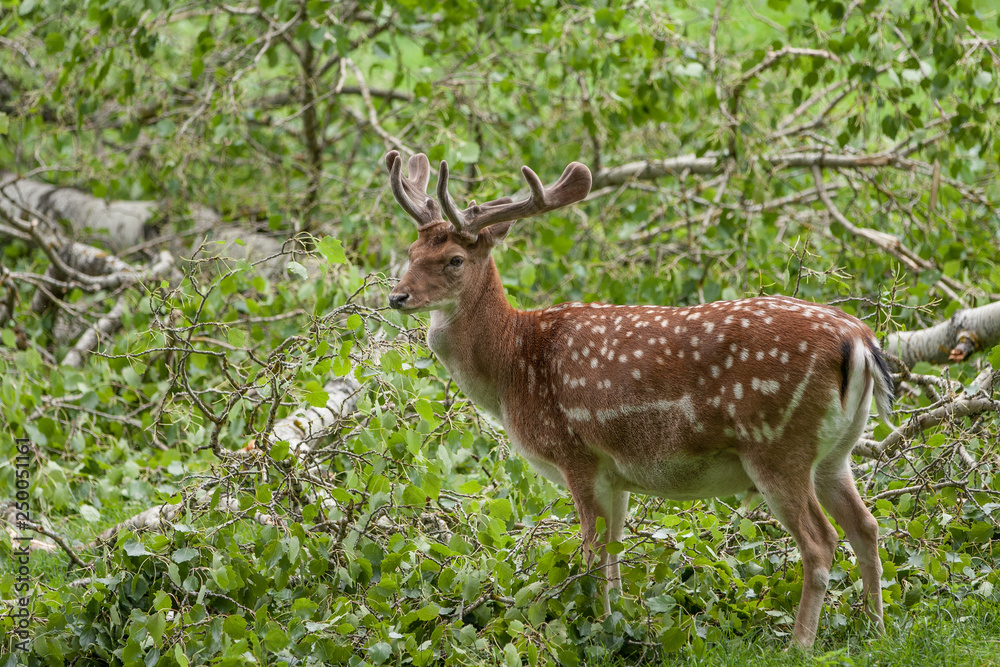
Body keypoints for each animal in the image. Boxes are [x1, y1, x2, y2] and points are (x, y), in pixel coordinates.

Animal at [380, 150, 892, 648]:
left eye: (453, 259)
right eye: (410, 251)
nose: (397, 296)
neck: (514, 368)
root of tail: (860, 341)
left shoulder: (576, 453)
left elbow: (591, 554)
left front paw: (589, 634)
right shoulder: (617, 472)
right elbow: (614, 556)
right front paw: (617, 624)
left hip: (776, 444)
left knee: (820, 541)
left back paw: (799, 645)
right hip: (835, 452)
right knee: (865, 525)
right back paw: (873, 628)